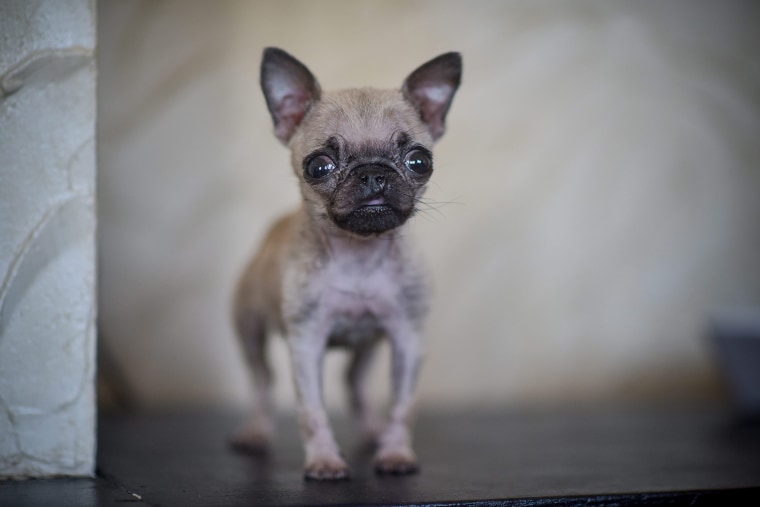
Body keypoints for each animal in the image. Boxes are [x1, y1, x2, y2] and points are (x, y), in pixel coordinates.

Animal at [232, 47, 460, 480]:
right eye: (318, 166)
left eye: (419, 161)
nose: (373, 174)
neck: (360, 255)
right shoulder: (306, 344)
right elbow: (312, 411)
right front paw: (324, 460)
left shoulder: (407, 340)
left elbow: (403, 406)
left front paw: (396, 453)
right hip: (250, 331)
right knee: (263, 383)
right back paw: (254, 432)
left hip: (367, 345)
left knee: (353, 382)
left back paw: (373, 431)